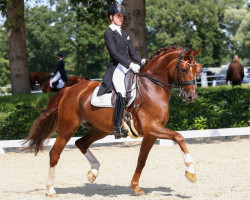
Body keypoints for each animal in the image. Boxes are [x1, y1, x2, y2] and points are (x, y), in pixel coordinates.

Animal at [24, 46, 201, 197]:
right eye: (184, 69)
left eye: (197, 70)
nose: (191, 97)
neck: (152, 87)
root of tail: (69, 90)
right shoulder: (152, 128)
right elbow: (179, 137)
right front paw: (191, 172)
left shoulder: (151, 133)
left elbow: (141, 160)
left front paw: (136, 187)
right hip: (67, 128)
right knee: (55, 153)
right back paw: (51, 189)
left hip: (100, 129)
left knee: (81, 143)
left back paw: (93, 172)